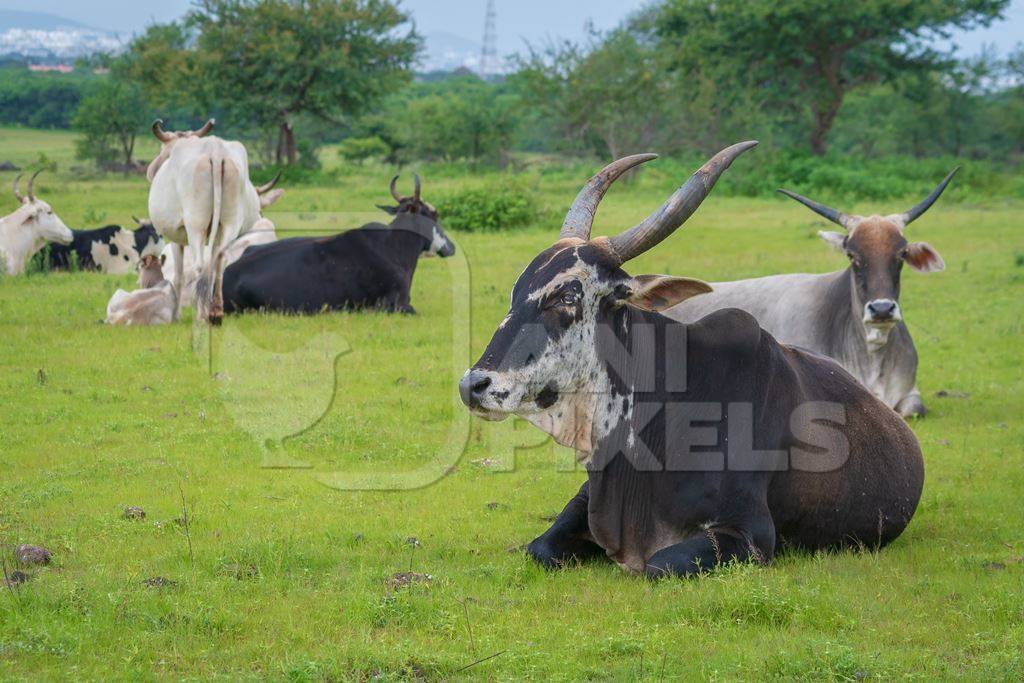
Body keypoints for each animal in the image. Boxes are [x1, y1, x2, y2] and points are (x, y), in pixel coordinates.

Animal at [148, 119, 268, 323]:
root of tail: (216, 151)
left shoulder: (176, 239)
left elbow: (178, 277)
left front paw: (175, 316)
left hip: (195, 225)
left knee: (200, 265)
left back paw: (201, 314)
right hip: (230, 224)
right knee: (219, 263)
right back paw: (216, 311)